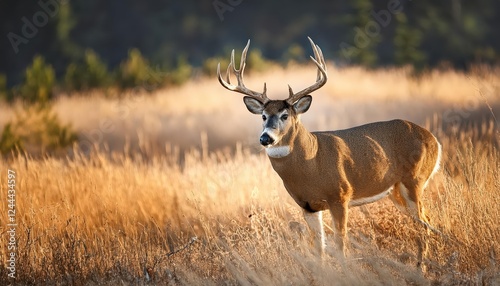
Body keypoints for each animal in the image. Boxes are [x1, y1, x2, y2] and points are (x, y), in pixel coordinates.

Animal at [217, 37, 444, 268]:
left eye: (284, 115)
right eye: (263, 116)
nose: (265, 138)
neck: (312, 163)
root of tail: (434, 140)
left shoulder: (340, 195)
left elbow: (340, 243)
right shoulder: (307, 205)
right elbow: (319, 248)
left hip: (414, 179)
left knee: (424, 223)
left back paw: (420, 268)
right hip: (395, 191)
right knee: (426, 220)